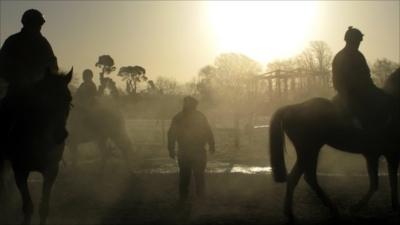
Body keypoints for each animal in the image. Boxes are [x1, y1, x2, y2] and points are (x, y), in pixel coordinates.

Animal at [0, 69, 72, 225]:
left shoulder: (51, 170)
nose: (60, 134)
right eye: (45, 99)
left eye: (68, 99)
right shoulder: (20, 170)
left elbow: (43, 207)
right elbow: (28, 207)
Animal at [268, 68, 400, 221]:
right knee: (298, 178)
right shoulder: (389, 154)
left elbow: (378, 183)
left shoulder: (374, 155)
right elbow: (385, 183)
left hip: (310, 151)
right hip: (308, 150)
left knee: (308, 178)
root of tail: (291, 108)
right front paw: (357, 207)